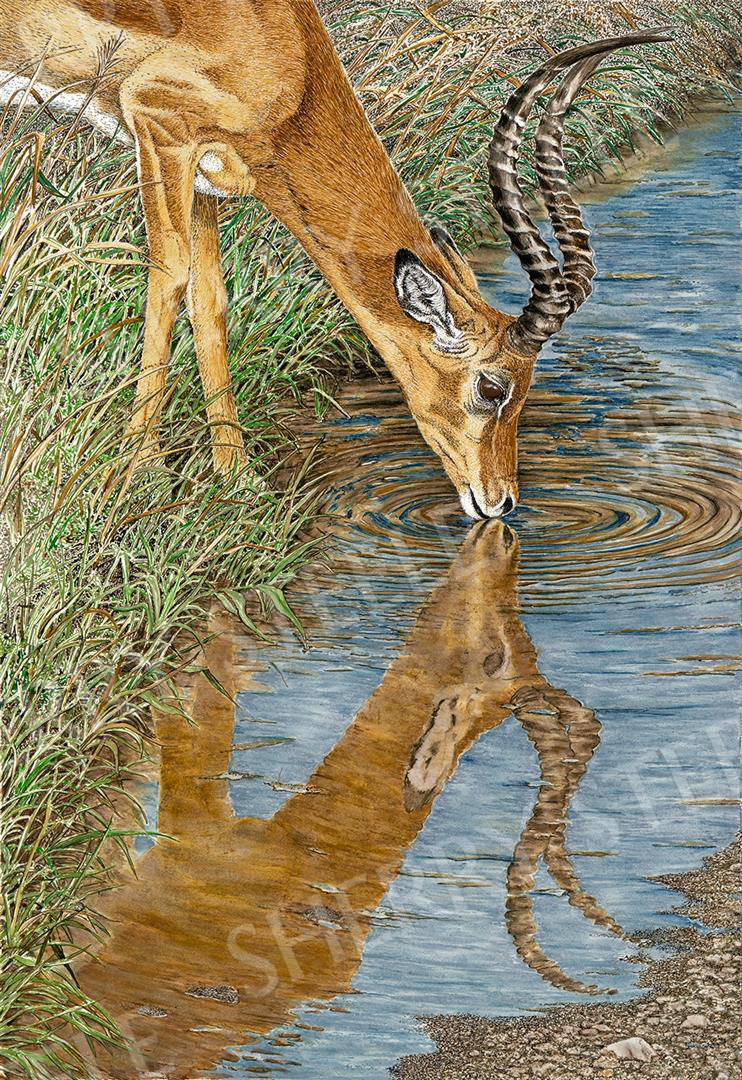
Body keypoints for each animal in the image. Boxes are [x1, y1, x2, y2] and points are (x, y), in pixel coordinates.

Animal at [0, 6, 669, 517]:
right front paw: (144, 476)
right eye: (492, 387)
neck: (287, 57)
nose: (500, 503)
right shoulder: (160, 132)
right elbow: (169, 281)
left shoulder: (209, 177)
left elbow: (209, 300)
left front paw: (238, 482)